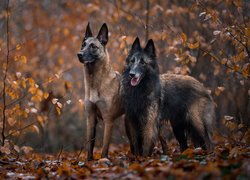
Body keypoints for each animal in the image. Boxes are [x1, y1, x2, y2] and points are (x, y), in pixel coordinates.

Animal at [76, 22, 123, 160]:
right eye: (83, 45)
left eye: (93, 46)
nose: (79, 54)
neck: (95, 83)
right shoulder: (91, 118)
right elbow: (90, 144)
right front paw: (88, 161)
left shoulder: (108, 120)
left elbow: (104, 148)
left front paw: (103, 160)